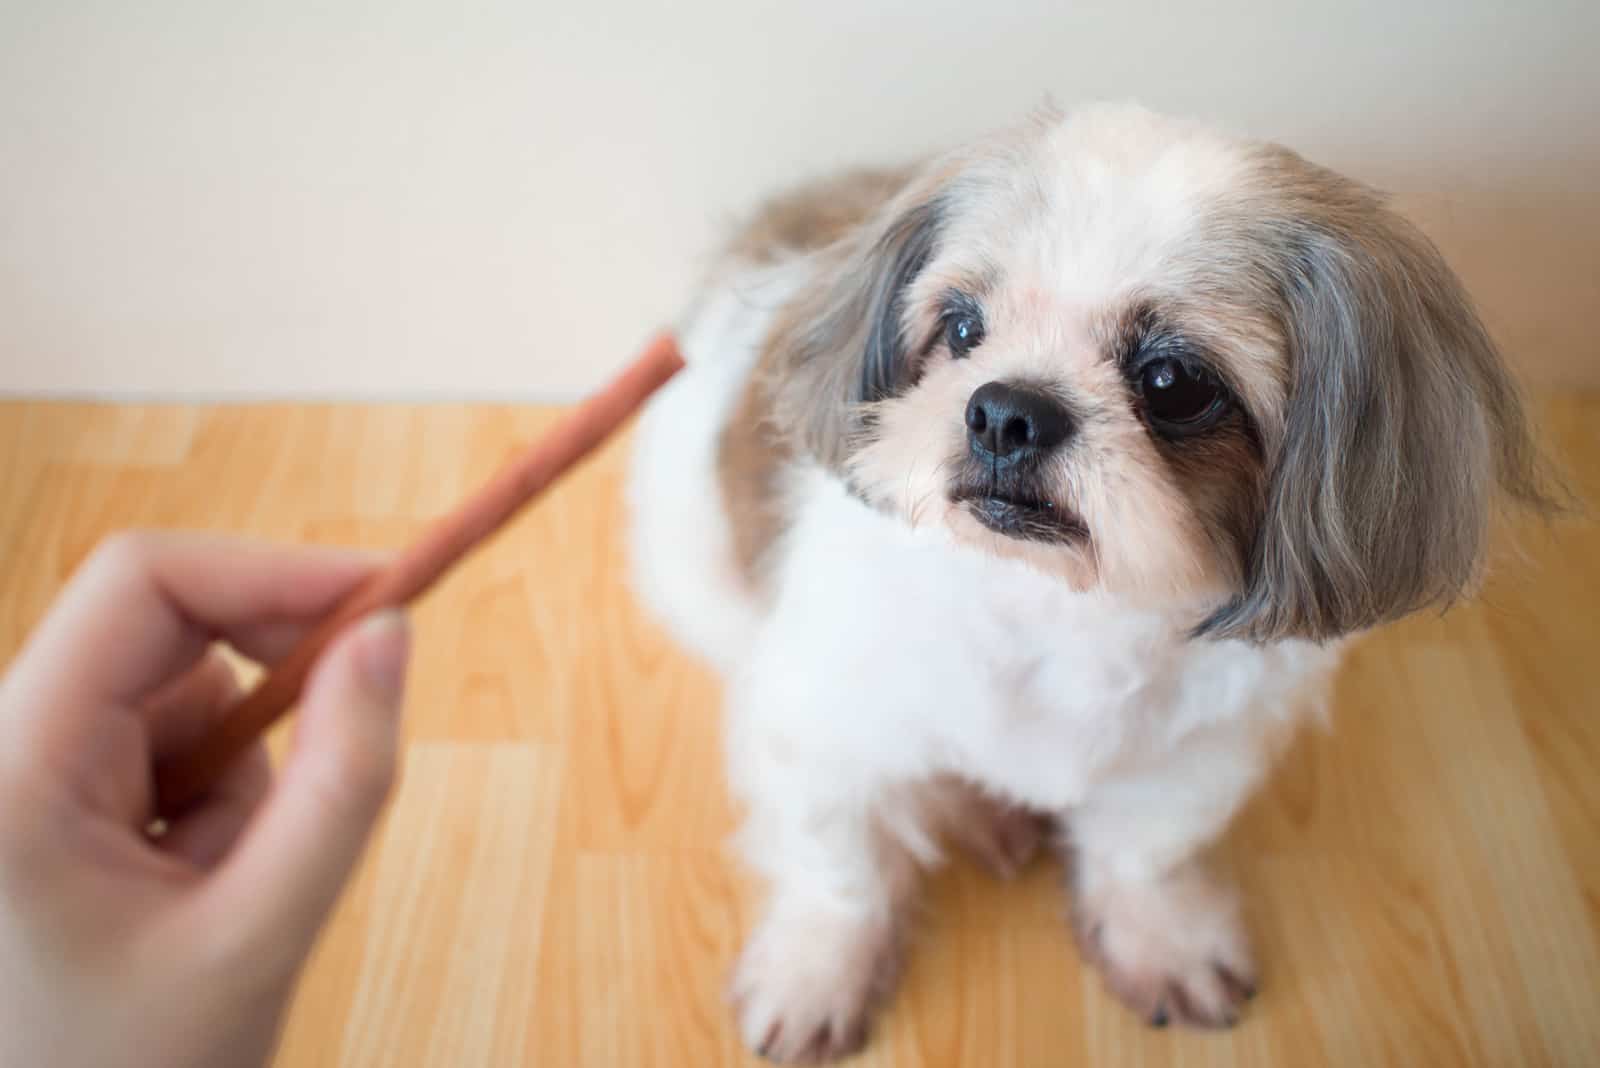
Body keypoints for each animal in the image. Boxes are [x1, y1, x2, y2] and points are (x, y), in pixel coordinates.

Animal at [620, 102, 1548, 1061]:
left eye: (1173, 381)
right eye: (961, 329)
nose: (1006, 411)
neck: (1055, 609)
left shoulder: (1197, 753)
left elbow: (1143, 850)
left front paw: (1159, 933)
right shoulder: (821, 730)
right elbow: (840, 867)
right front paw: (819, 967)